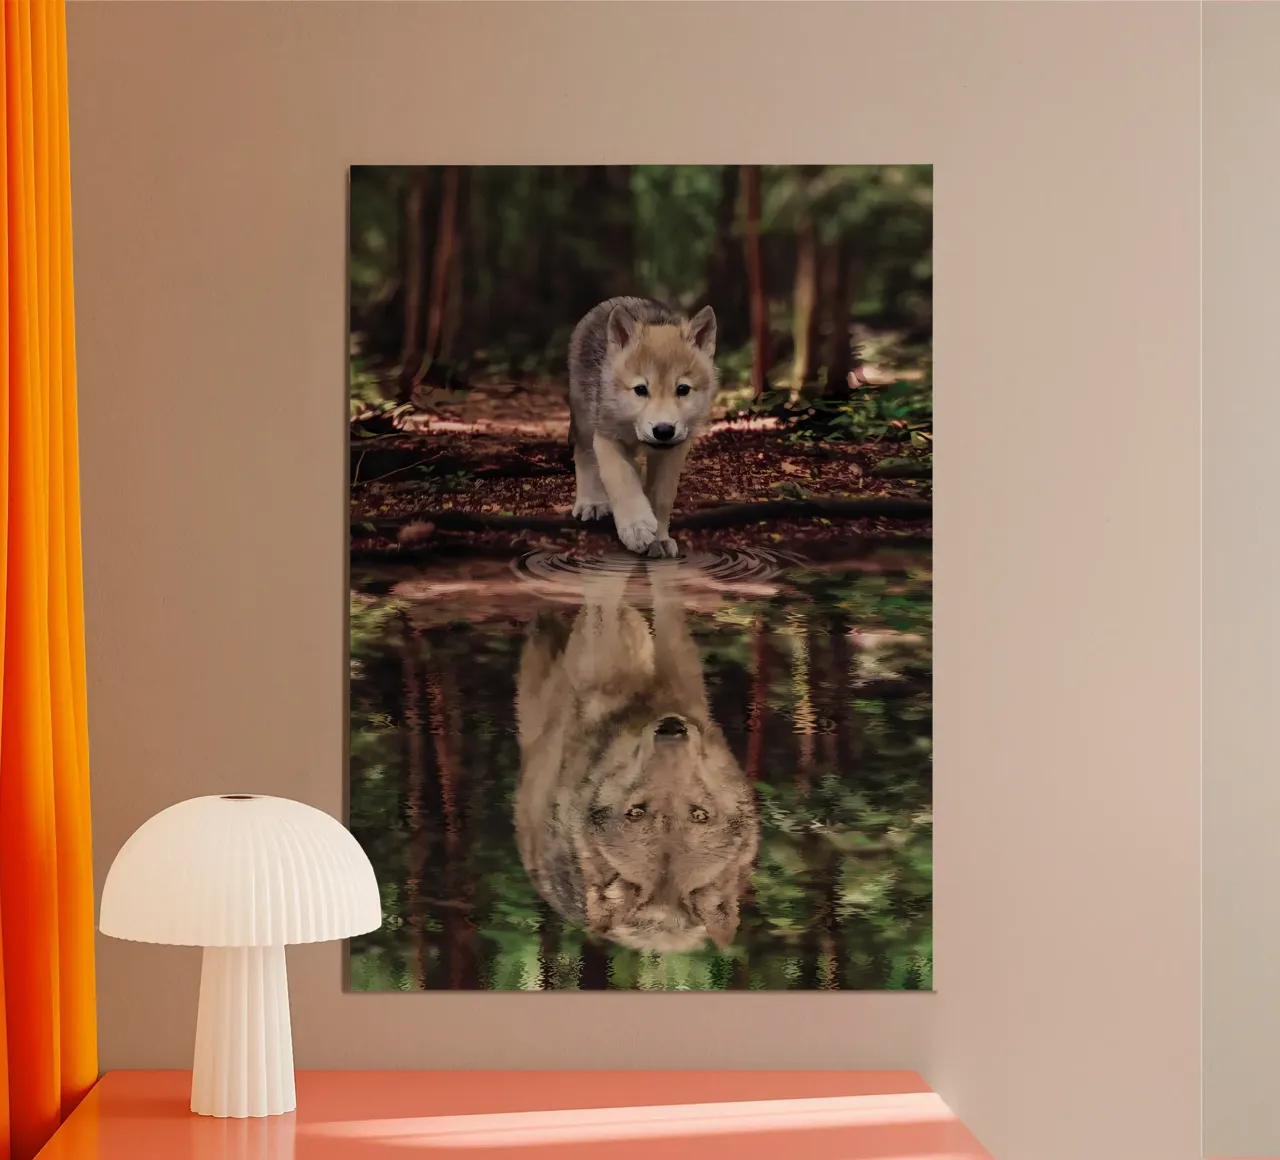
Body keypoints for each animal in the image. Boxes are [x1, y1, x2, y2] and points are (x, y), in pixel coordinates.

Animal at [568, 297, 718, 558]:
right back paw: (591, 503)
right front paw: (636, 527)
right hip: (585, 420)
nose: (663, 430)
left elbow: (661, 496)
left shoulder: (675, 448)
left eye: (682, 389)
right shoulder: (606, 436)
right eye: (640, 389)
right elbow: (622, 479)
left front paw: (659, 538)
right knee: (584, 456)